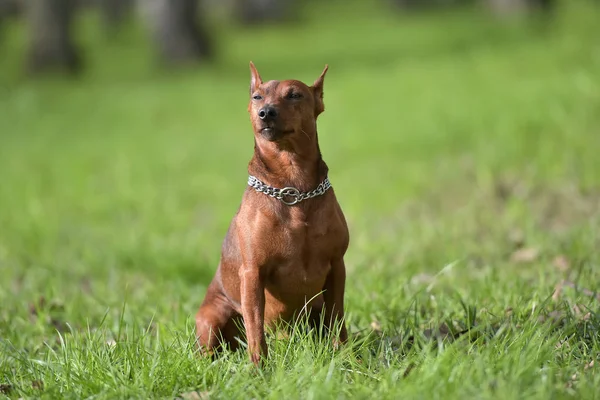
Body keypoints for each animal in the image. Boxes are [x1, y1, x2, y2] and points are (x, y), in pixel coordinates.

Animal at [195, 62, 350, 366]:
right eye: (257, 97)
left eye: (295, 95)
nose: (266, 112)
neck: (293, 187)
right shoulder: (252, 274)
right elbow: (255, 327)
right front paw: (259, 368)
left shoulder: (337, 265)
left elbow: (337, 317)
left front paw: (348, 357)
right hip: (210, 318)